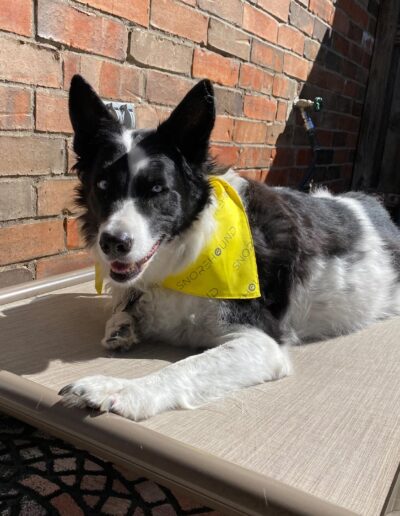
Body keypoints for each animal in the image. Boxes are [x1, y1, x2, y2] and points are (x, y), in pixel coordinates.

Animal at [59, 77, 400, 424]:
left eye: (157, 189)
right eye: (102, 186)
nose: (113, 243)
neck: (189, 250)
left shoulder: (262, 343)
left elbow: (182, 368)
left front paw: (121, 389)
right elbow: (122, 310)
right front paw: (121, 327)